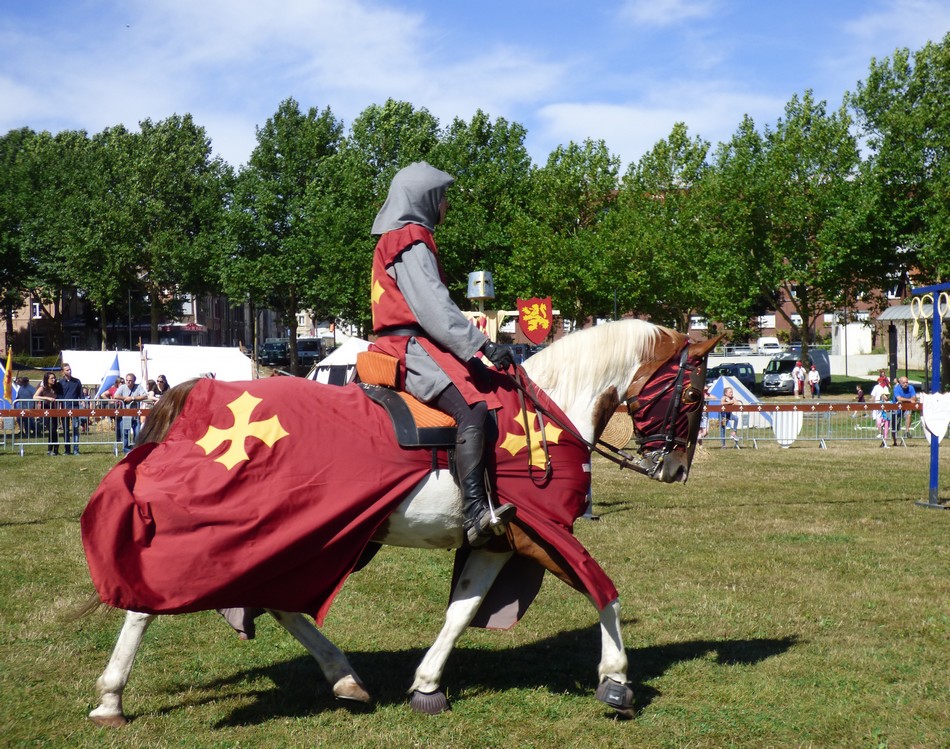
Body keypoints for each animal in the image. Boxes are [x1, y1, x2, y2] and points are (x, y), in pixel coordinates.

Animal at [85, 318, 716, 724]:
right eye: (691, 392)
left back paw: (346, 678)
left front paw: (428, 686)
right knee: (150, 600)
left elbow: (462, 610)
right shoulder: (541, 532)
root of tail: (201, 393)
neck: (549, 415)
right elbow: (602, 590)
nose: (676, 468)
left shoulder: (495, 540)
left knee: (280, 601)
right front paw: (617, 681)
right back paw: (111, 698)